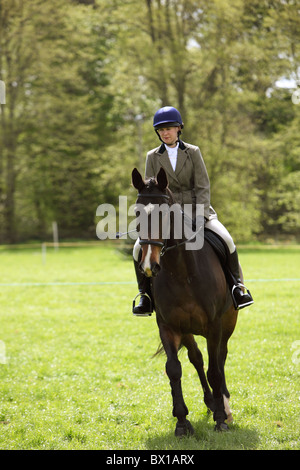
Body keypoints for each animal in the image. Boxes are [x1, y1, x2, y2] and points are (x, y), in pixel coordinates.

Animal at [131, 167, 239, 436]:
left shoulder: (214, 325)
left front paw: (221, 419)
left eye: (165, 214)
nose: (149, 266)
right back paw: (211, 401)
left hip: (228, 323)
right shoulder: (168, 326)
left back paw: (224, 405)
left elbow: (214, 370)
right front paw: (181, 421)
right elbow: (174, 369)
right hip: (188, 329)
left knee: (220, 359)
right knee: (197, 358)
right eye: (136, 212)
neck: (182, 271)